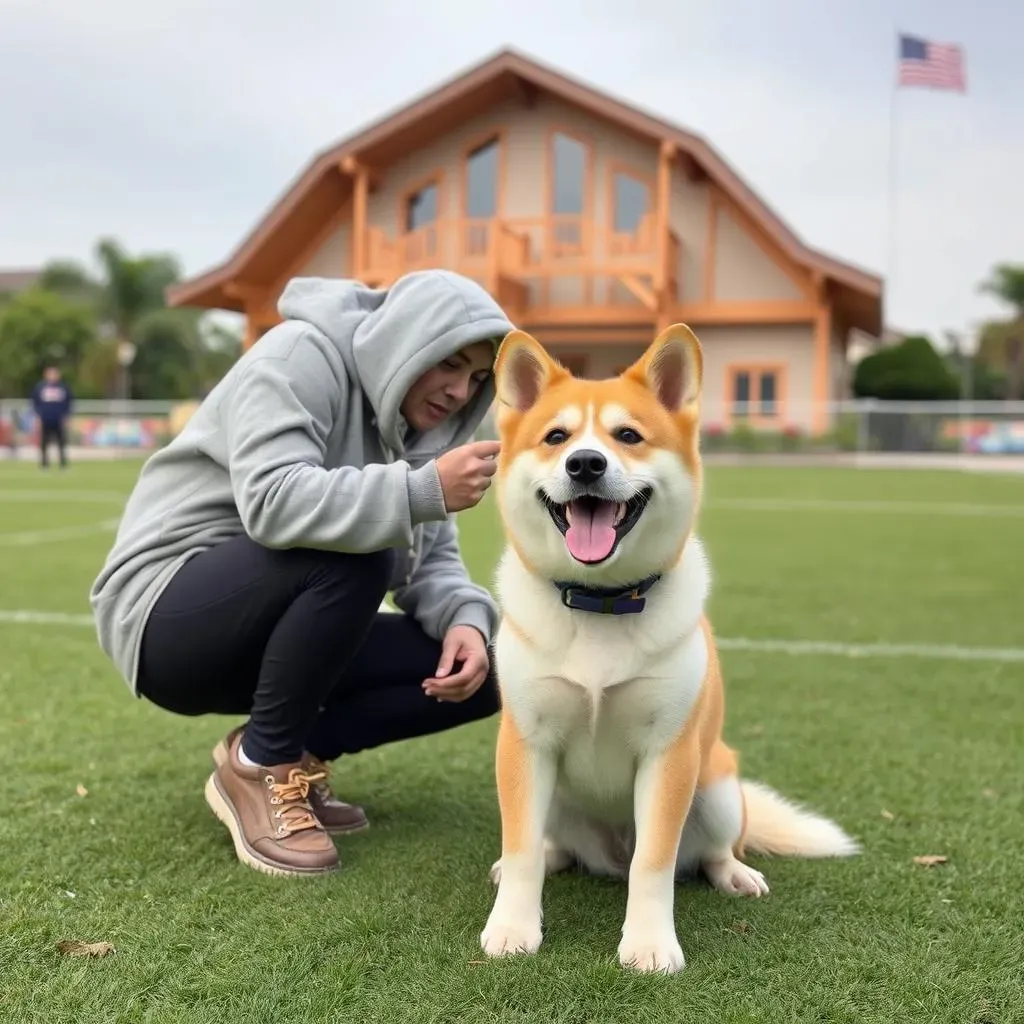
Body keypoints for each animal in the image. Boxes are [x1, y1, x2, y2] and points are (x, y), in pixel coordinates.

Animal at [477, 323, 856, 970]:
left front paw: (649, 944)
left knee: (707, 852)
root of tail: (606, 852)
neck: (601, 604)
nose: (585, 463)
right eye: (556, 437)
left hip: (717, 785)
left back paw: (734, 874)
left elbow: (653, 864)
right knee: (553, 848)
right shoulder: (525, 744)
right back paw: (548, 858)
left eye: (628, 435)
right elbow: (523, 847)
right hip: (558, 799)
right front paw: (512, 928)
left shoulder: (669, 754)